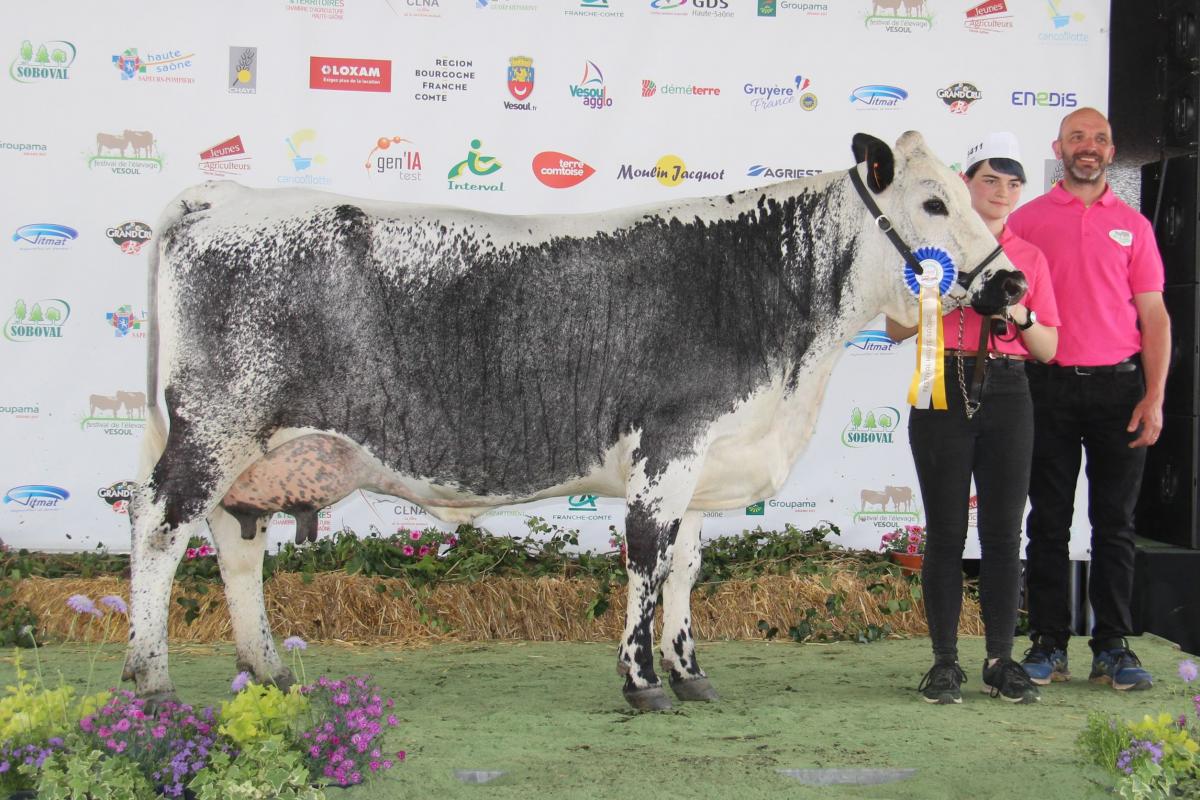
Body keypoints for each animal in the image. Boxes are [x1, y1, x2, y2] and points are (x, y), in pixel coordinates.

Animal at [119, 133, 1022, 714]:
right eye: (933, 201)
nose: (1011, 285)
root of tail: (222, 196)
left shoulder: (706, 455)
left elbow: (686, 566)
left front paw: (690, 672)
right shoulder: (670, 443)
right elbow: (648, 558)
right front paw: (641, 681)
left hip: (253, 450)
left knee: (234, 541)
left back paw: (269, 669)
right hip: (216, 426)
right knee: (159, 529)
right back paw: (152, 678)